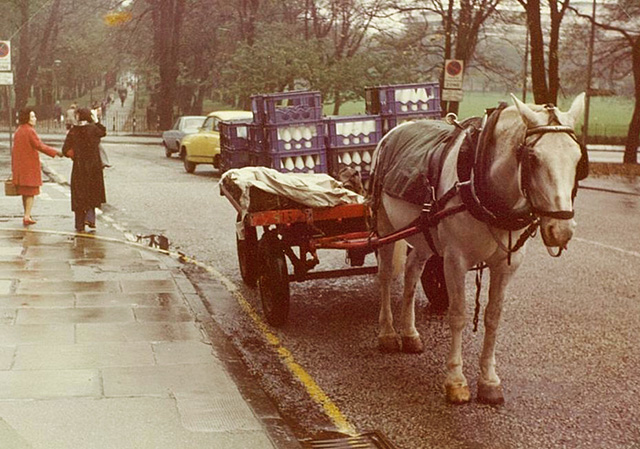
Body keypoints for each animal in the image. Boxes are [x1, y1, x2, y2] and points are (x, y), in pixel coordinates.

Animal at [372, 93, 588, 404]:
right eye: (532, 158)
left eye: (578, 159)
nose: (561, 231)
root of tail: (398, 128)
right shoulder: (454, 260)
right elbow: (458, 315)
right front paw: (456, 380)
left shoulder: (507, 264)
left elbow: (493, 317)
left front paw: (488, 380)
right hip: (385, 227)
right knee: (387, 276)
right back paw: (388, 333)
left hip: (424, 235)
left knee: (412, 273)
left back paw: (410, 333)